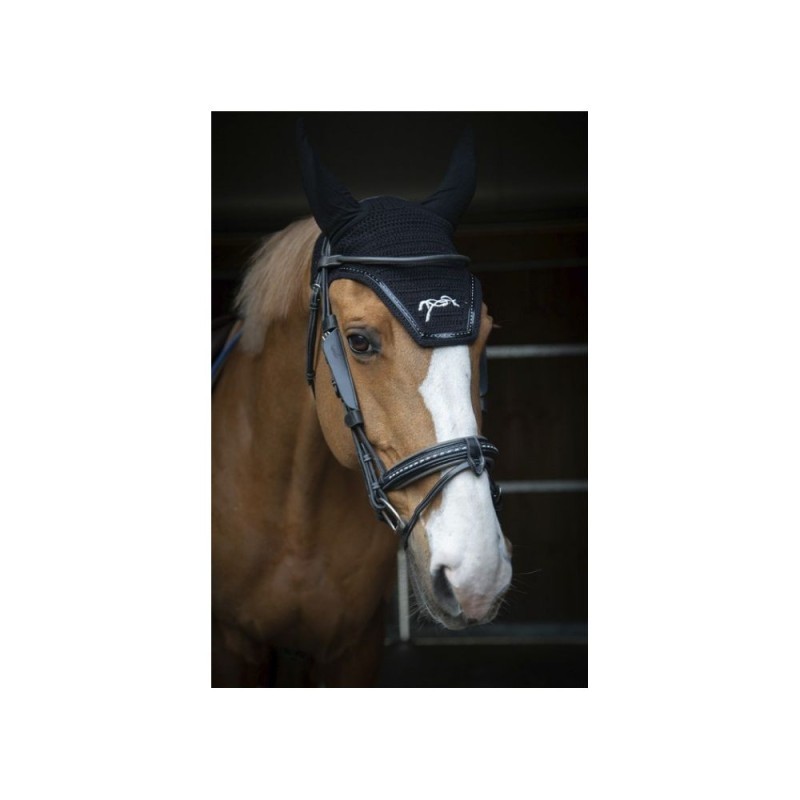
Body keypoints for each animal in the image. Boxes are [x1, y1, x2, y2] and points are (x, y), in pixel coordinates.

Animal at [211, 124, 513, 687]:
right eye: (359, 341)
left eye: (485, 331)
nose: (476, 574)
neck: (295, 515)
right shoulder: (234, 645)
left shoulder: (353, 647)